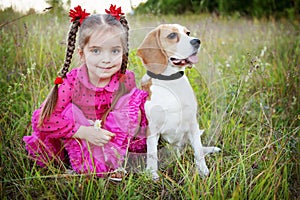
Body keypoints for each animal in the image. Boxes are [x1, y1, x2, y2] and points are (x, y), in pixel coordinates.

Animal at [137, 24, 219, 179]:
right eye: (172, 35)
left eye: (188, 33)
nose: (197, 41)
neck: (171, 82)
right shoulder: (152, 129)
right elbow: (152, 154)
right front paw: (152, 174)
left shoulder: (193, 123)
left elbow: (198, 151)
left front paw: (203, 171)